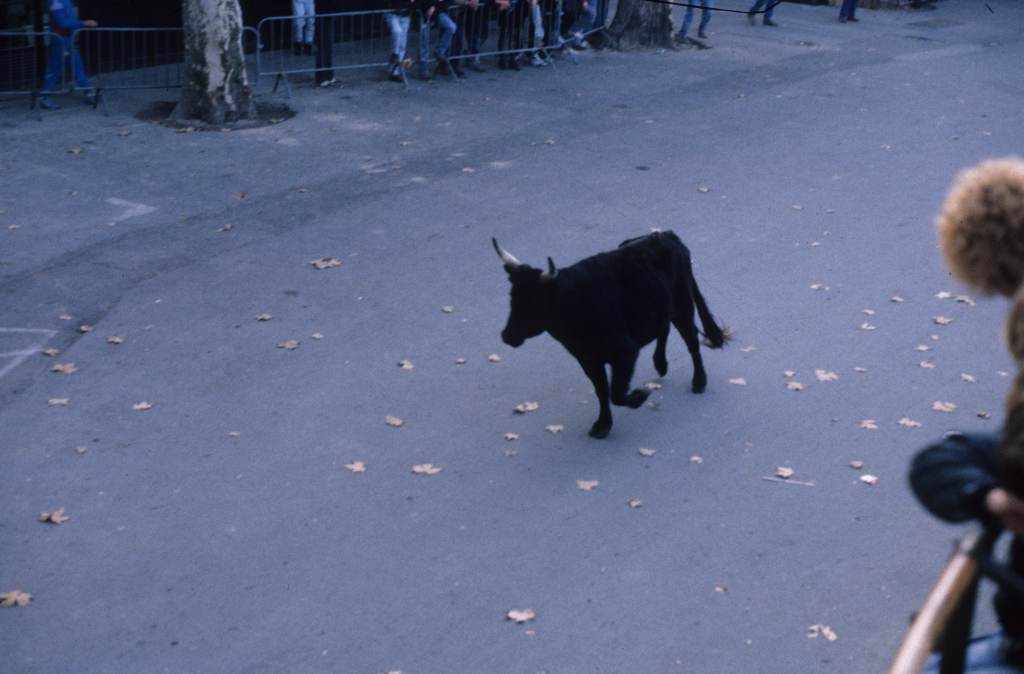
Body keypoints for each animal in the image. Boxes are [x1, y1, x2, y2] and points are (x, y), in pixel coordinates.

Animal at [495, 228, 729, 438]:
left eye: (534, 303)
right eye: (512, 297)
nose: (507, 335)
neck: (574, 302)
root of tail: (667, 235)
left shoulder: (625, 352)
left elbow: (616, 392)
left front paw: (639, 396)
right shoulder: (587, 359)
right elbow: (602, 390)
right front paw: (603, 425)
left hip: (682, 305)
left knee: (691, 340)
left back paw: (699, 381)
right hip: (661, 306)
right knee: (664, 328)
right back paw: (661, 364)